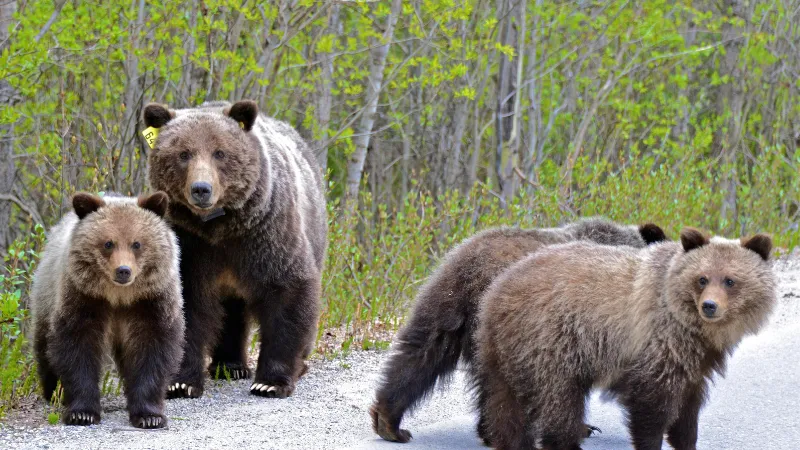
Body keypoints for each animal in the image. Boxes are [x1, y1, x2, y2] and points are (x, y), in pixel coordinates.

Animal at [30, 192, 183, 428]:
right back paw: (53, 391)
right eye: (108, 243)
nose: (123, 270)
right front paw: (82, 413)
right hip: (47, 294)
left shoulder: (150, 301)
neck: (118, 296)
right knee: (44, 345)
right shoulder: (84, 297)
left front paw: (149, 416)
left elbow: (151, 348)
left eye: (136, 243)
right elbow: (77, 346)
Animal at [142, 100, 327, 399]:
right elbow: (187, 303)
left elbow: (288, 290)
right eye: (184, 153)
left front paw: (270, 382)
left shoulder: (266, 233)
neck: (220, 228)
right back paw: (229, 365)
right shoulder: (190, 244)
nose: (201, 189)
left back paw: (299, 364)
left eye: (220, 153)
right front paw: (180, 382)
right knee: (231, 311)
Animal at [474, 228, 776, 450]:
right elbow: (651, 406)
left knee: (504, 404)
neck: (693, 327)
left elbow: (689, 409)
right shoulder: (658, 342)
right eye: (702, 278)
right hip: (552, 342)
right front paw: (651, 442)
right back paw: (567, 439)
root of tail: (496, 292)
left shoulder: (696, 359)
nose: (709, 306)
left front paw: (686, 440)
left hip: (503, 352)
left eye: (730, 280)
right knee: (559, 400)